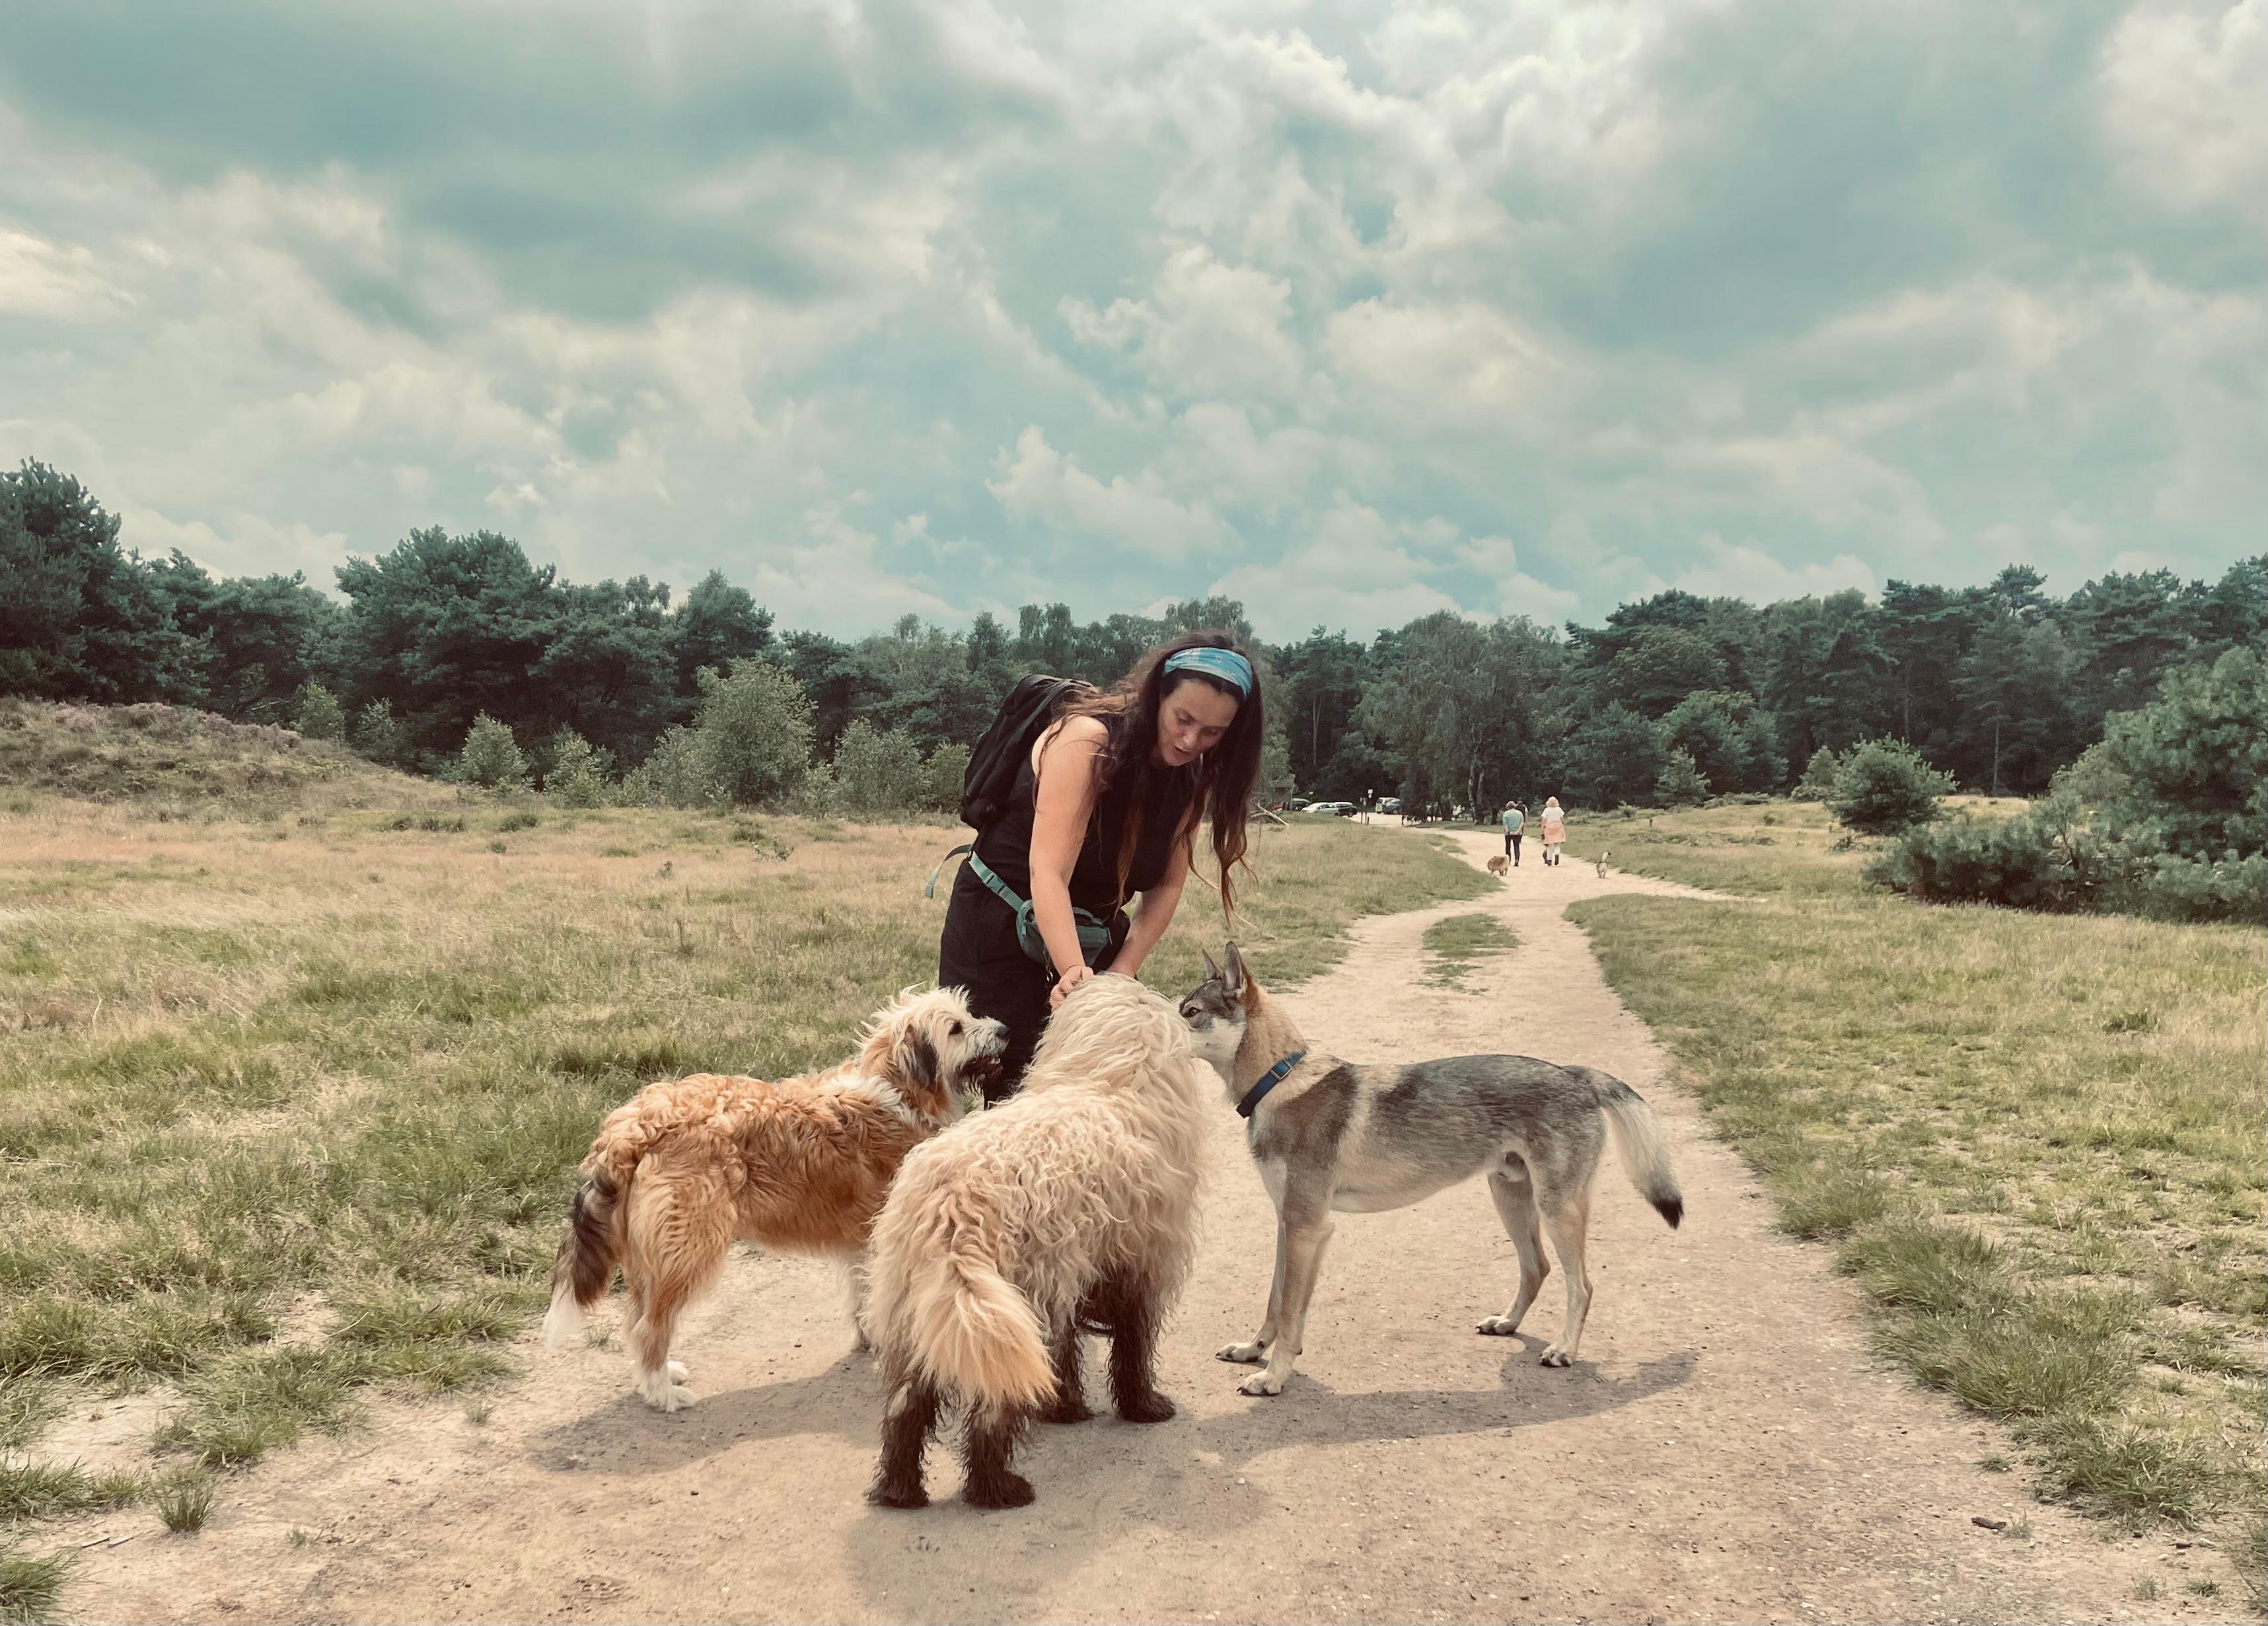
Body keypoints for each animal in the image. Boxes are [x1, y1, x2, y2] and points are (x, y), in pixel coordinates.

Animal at [540, 984, 1002, 1415]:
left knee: (637, 1320)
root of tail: (636, 1124)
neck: (900, 1092)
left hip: (648, 1259)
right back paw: (663, 1393)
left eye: (969, 1015)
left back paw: (662, 1375)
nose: (1003, 1030)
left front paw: (868, 1337)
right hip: (688, 1250)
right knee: (649, 1327)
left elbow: (862, 1295)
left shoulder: (861, 1240)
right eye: (956, 1028)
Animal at [861, 966, 1216, 1506]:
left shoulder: (1071, 1276)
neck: (1108, 1083)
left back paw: (900, 1489)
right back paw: (996, 1487)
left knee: (907, 1405)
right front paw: (1143, 1406)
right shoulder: (1138, 1263)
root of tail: (953, 1203)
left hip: (924, 1306)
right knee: (991, 1409)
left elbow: (1067, 1353)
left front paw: (1065, 1408)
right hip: (1008, 1307)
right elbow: (1132, 1346)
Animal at [1179, 943, 1678, 1387]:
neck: (1278, 1081)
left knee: (1582, 1285)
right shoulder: (1288, 1224)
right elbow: (1274, 1302)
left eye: (1189, 1012)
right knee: (1537, 1268)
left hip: (1557, 1210)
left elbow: (1288, 1314)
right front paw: (1253, 1350)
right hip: (1510, 1199)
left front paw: (1273, 1376)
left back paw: (1564, 1350)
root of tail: (1574, 1073)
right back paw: (1506, 1323)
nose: (1161, 1025)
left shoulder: (1308, 1227)